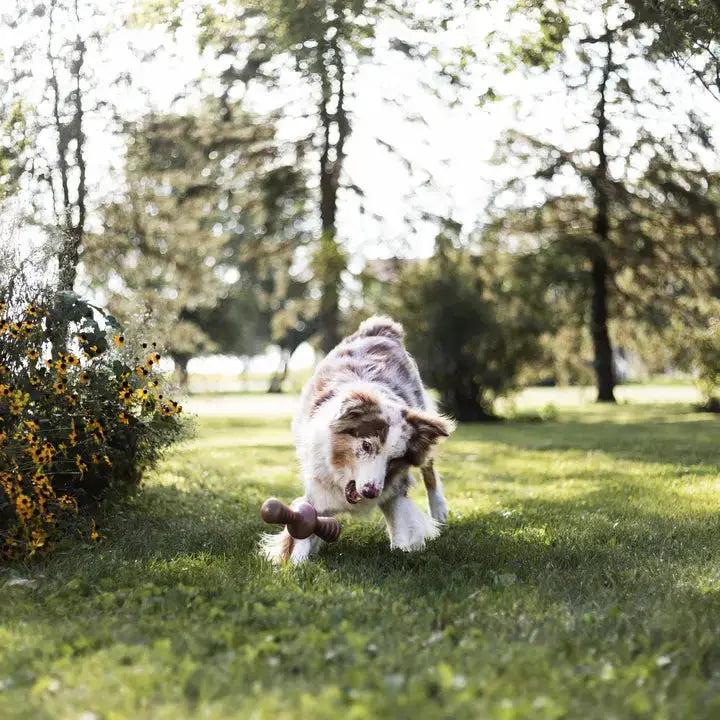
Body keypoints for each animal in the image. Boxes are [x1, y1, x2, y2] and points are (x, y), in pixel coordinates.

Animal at [260, 316, 456, 564]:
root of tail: (380, 329)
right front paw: (295, 564)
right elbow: (303, 525)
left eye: (395, 460)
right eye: (366, 445)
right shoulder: (317, 488)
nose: (371, 492)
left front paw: (403, 550)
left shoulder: (395, 488)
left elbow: (401, 519)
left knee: (428, 467)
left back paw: (438, 509)